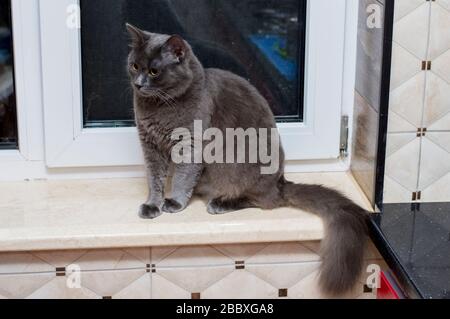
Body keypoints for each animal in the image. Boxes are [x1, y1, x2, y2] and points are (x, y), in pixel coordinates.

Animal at [125, 23, 370, 296]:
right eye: (134, 65)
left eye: (154, 71)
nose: (138, 84)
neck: (159, 106)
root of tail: (281, 181)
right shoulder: (149, 145)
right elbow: (154, 179)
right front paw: (152, 204)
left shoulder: (191, 144)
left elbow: (182, 177)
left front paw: (175, 203)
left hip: (242, 166)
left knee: (266, 201)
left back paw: (221, 203)